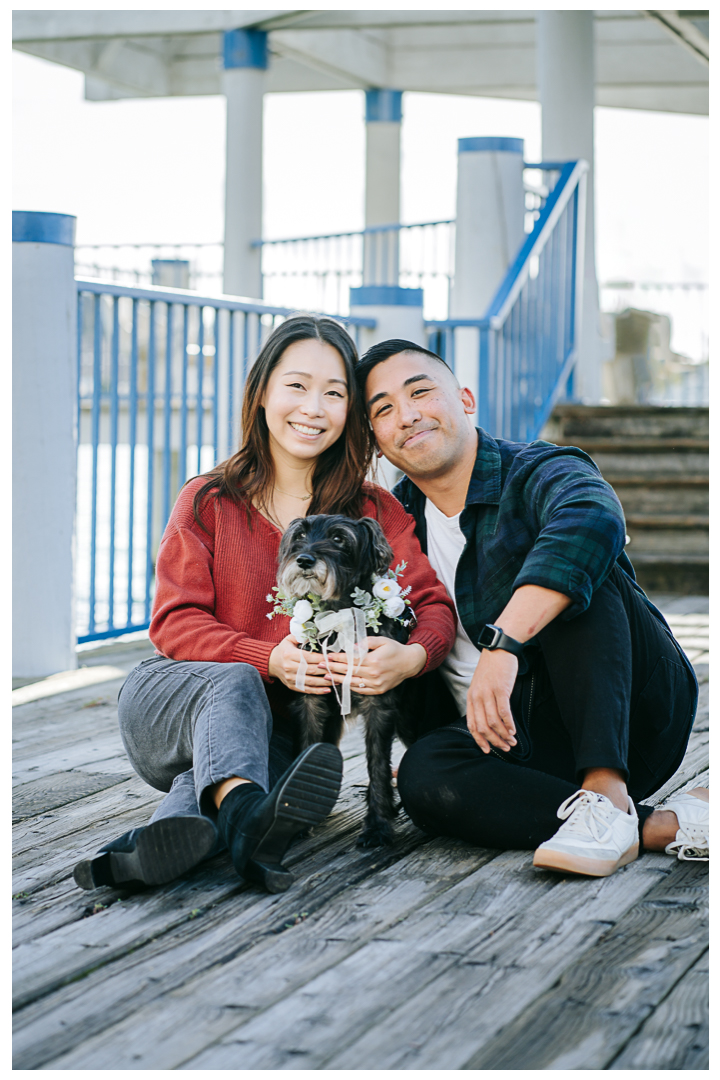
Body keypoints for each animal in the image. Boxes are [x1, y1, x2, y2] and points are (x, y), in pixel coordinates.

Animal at [278, 516, 418, 851]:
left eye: (339, 539)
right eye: (300, 535)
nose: (304, 560)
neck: (336, 615)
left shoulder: (378, 704)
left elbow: (377, 763)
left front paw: (378, 826)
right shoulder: (311, 701)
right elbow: (307, 751)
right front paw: (297, 821)